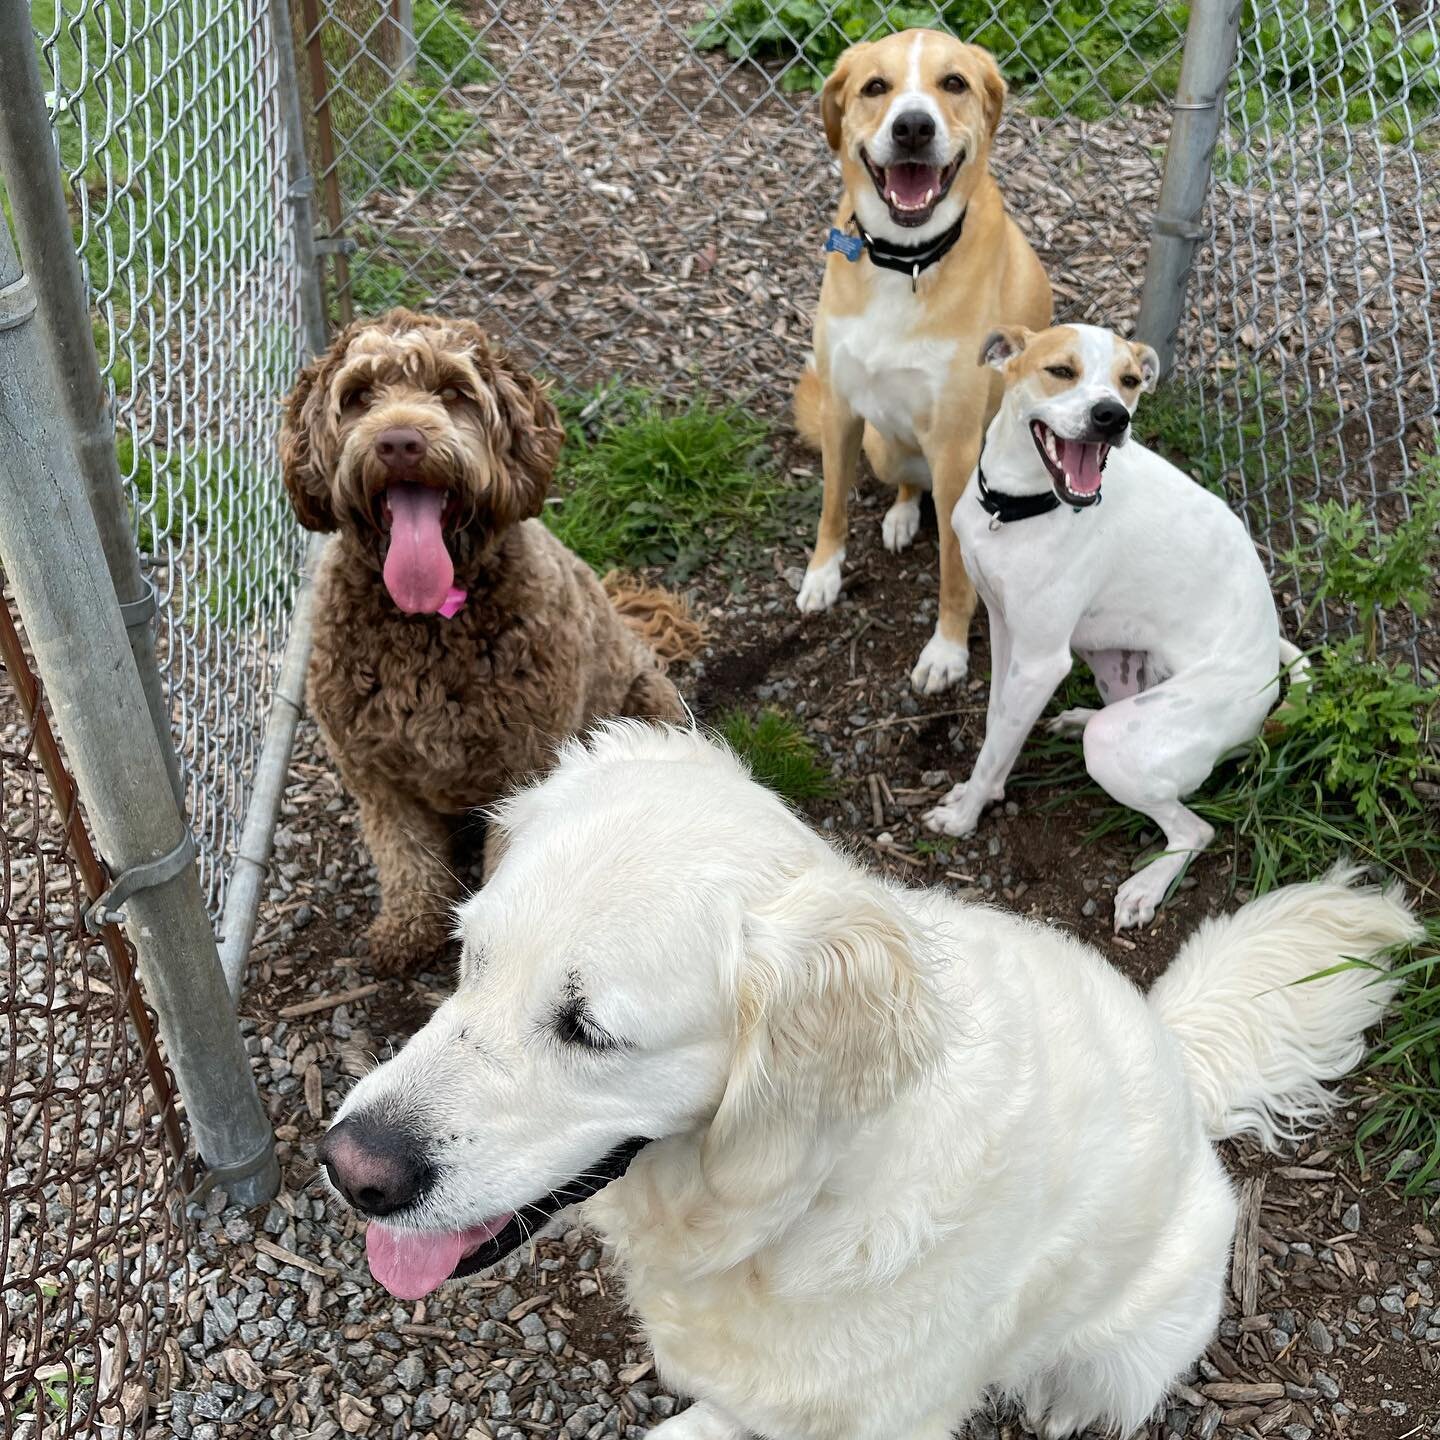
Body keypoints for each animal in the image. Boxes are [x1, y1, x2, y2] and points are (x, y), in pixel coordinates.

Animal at [279, 309, 696, 973]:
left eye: (454, 392)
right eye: (359, 396)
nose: (400, 442)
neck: (425, 622)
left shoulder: (521, 769)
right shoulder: (375, 775)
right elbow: (404, 855)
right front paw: (409, 930)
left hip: (648, 703)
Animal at [321, 731, 1411, 1440]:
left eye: (589, 1031)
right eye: (470, 956)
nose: (348, 1169)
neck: (791, 1206)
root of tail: (1179, 1051)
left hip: (1141, 1330)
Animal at [794, 26, 1054, 691]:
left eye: (953, 82)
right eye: (875, 87)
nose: (913, 126)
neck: (906, 260)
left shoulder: (958, 445)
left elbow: (955, 572)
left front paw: (947, 651)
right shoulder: (840, 409)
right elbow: (831, 507)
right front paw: (822, 575)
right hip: (884, 447)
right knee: (908, 484)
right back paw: (902, 516)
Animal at [927, 325, 1313, 927]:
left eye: (1130, 381)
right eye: (1061, 371)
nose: (1112, 416)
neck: (1019, 507)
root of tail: (1267, 703)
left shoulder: (1040, 661)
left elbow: (994, 745)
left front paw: (965, 816)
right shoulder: (1007, 631)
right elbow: (997, 729)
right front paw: (980, 790)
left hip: (1116, 746)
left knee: (1195, 829)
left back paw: (1145, 887)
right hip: (1111, 662)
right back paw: (1077, 718)